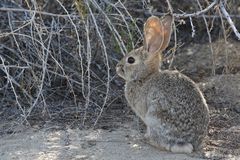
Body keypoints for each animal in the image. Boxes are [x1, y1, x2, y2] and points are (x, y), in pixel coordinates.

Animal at [115, 15, 209, 154]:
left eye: (130, 60)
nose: (117, 67)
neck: (145, 77)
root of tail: (188, 142)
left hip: (154, 117)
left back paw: (146, 139)